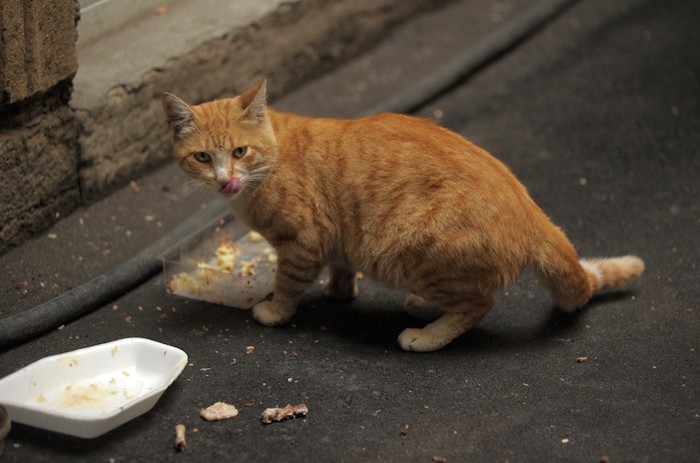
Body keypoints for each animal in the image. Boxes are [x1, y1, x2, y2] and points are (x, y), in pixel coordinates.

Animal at [161, 81, 644, 354]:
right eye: (203, 157)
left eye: (239, 152)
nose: (225, 180)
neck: (274, 154)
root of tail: (532, 212)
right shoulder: (337, 242)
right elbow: (341, 268)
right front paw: (339, 292)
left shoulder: (302, 244)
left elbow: (287, 286)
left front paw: (275, 311)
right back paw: (425, 307)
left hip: (411, 252)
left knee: (478, 304)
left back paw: (426, 336)